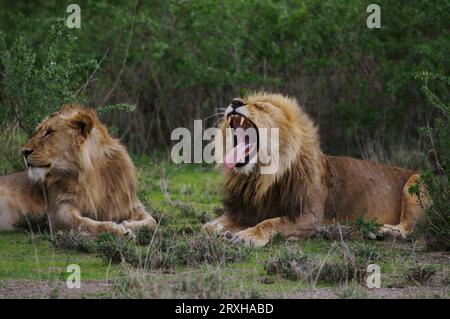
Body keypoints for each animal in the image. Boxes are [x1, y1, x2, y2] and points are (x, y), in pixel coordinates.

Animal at [0, 104, 156, 236]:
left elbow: (152, 222)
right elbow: (85, 223)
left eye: (49, 132)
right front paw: (117, 229)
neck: (92, 175)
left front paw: (127, 224)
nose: (24, 152)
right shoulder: (59, 211)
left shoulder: (131, 205)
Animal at [202, 92, 428, 248]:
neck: (261, 177)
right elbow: (211, 224)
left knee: (408, 229)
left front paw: (248, 235)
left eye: (260, 106)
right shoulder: (245, 209)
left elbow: (272, 222)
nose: (235, 102)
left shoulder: (310, 217)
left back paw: (379, 231)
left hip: (416, 181)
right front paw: (218, 229)